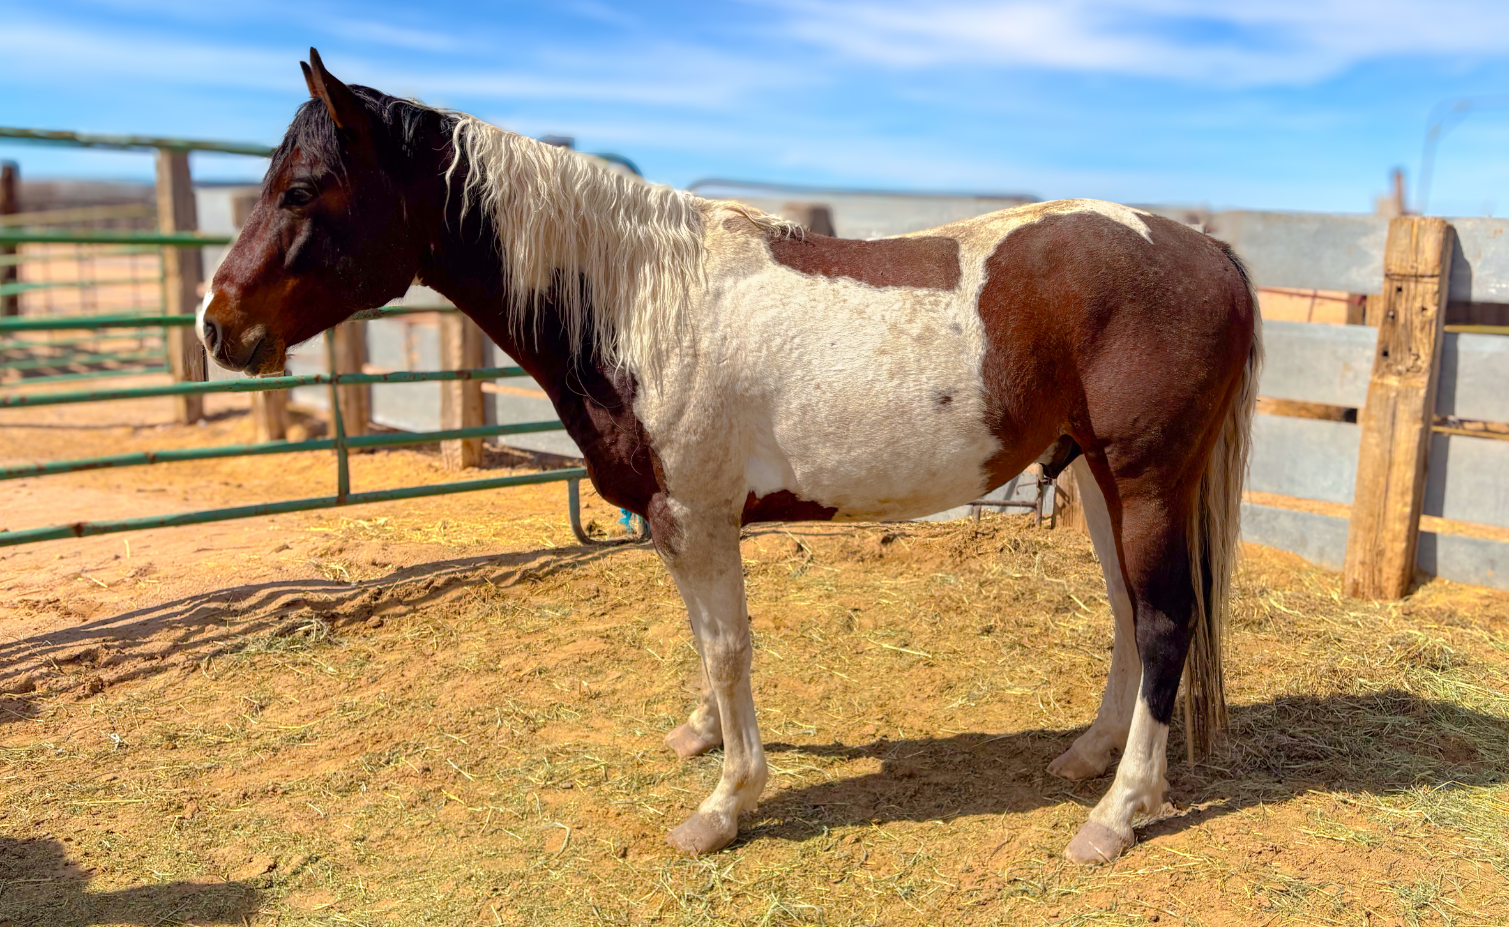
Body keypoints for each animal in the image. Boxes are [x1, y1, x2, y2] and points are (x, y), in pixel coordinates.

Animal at [200, 49, 1260, 865]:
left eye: (301, 190)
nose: (217, 327)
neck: (636, 304)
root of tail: (1206, 250)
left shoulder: (697, 517)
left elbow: (726, 647)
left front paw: (725, 801)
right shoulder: (680, 524)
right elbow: (705, 644)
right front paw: (704, 738)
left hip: (1146, 477)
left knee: (1164, 622)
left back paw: (1115, 814)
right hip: (1097, 474)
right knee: (1125, 613)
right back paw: (1088, 757)